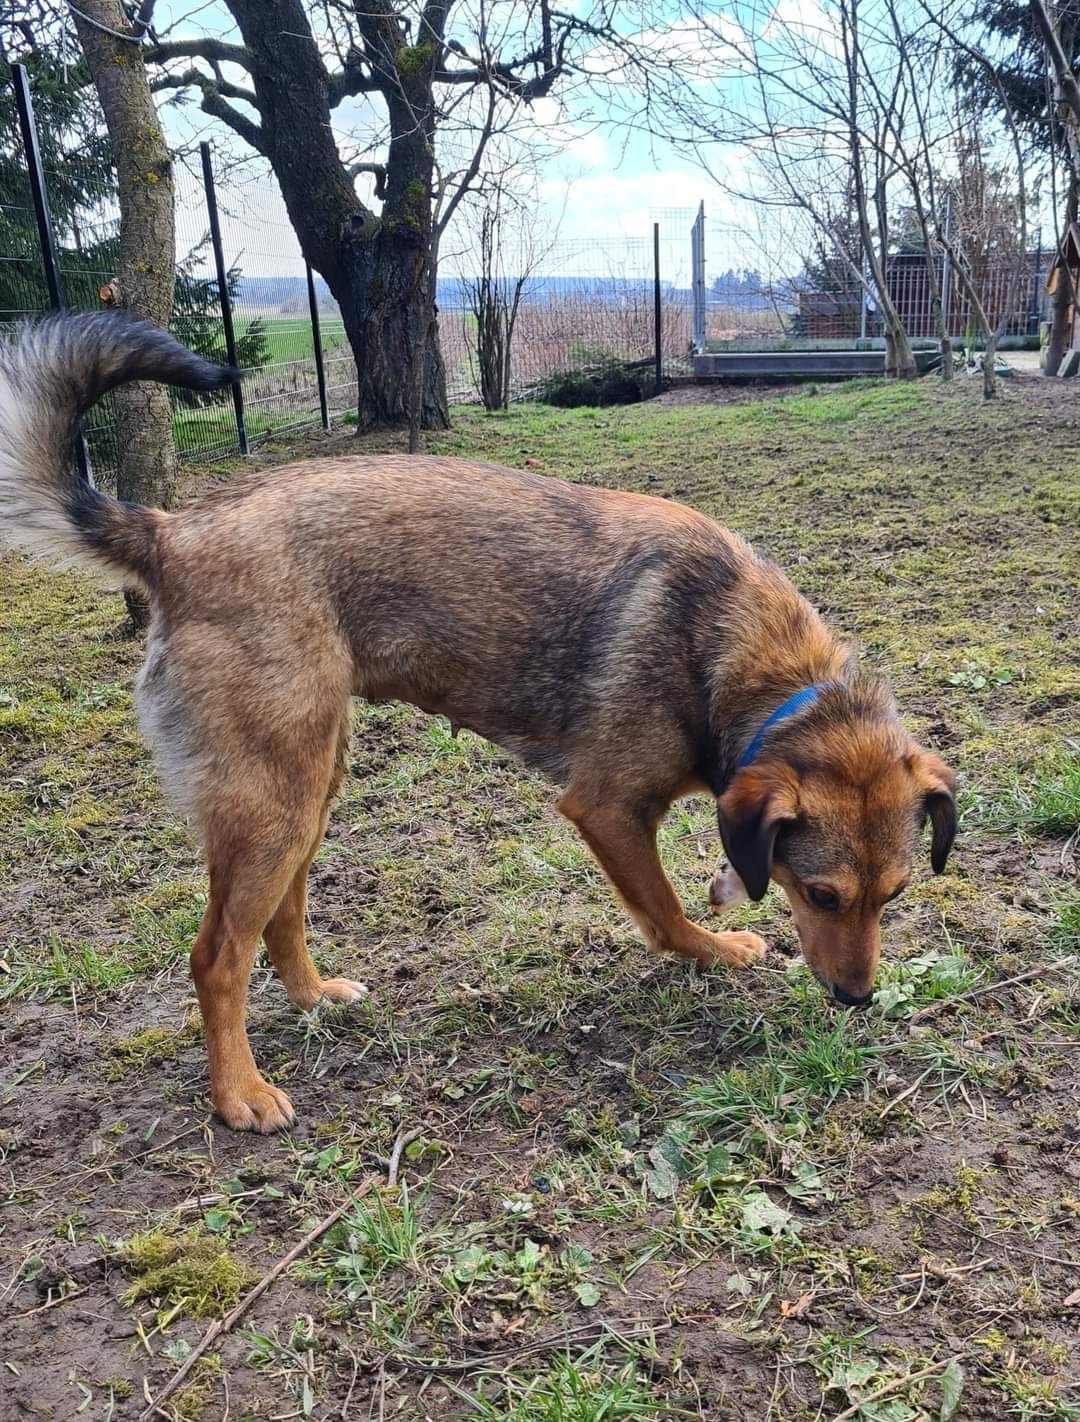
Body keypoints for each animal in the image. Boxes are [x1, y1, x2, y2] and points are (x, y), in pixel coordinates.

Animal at [0, 314, 956, 1131]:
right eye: (822, 895)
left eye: (895, 896)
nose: (858, 1000)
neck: (742, 661)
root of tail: (171, 532)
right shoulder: (609, 810)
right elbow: (664, 910)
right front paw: (713, 949)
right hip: (272, 801)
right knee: (216, 957)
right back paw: (240, 1094)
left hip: (306, 786)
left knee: (280, 916)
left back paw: (313, 998)